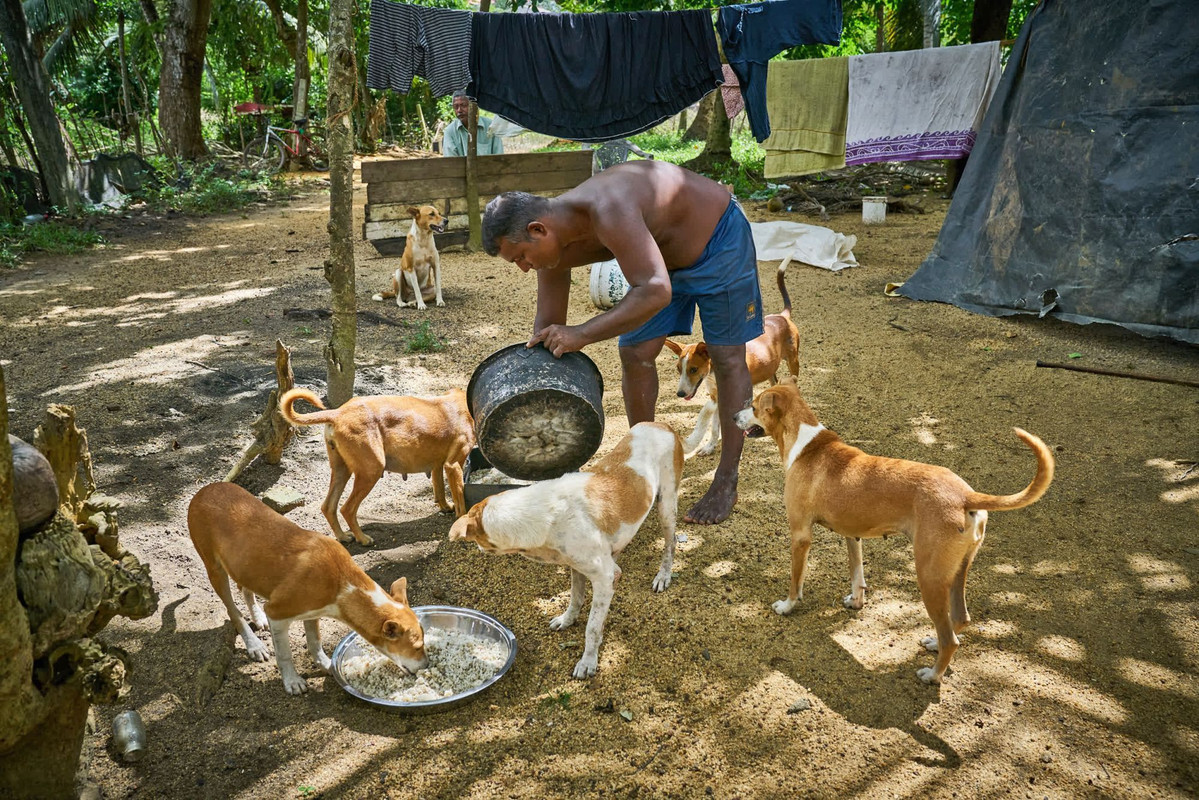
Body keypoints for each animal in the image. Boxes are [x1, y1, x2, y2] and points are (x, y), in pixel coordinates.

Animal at [184, 482, 429, 695]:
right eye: (417, 646)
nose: (427, 666)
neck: (341, 583)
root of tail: (204, 490)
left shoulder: (312, 614)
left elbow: (314, 643)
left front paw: (328, 666)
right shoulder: (277, 613)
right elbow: (285, 654)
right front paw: (292, 682)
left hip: (244, 566)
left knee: (245, 589)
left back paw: (258, 617)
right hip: (215, 570)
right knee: (232, 611)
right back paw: (254, 645)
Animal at [279, 386, 472, 546]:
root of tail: (338, 413)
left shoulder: (438, 465)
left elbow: (439, 490)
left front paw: (446, 507)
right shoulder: (453, 465)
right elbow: (460, 495)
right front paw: (462, 521)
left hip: (342, 471)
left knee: (329, 506)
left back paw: (343, 536)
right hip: (371, 471)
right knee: (347, 509)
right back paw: (363, 539)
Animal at [448, 422, 685, 681]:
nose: (478, 548)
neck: (545, 514)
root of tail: (663, 425)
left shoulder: (604, 578)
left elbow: (592, 626)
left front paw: (588, 661)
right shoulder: (577, 567)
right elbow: (576, 599)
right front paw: (567, 620)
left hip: (666, 506)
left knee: (671, 543)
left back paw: (663, 576)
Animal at [661, 257, 800, 455]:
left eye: (693, 369)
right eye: (678, 369)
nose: (680, 394)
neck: (713, 374)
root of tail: (782, 316)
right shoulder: (716, 398)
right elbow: (714, 427)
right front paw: (709, 447)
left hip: (793, 361)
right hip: (770, 371)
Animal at [733, 383, 1055, 686]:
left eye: (753, 406)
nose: (734, 415)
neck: (806, 443)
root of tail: (967, 496)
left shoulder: (800, 535)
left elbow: (795, 582)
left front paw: (786, 606)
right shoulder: (853, 535)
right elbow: (857, 575)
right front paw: (856, 602)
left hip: (929, 577)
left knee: (951, 638)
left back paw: (932, 674)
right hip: (955, 572)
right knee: (959, 619)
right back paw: (934, 644)